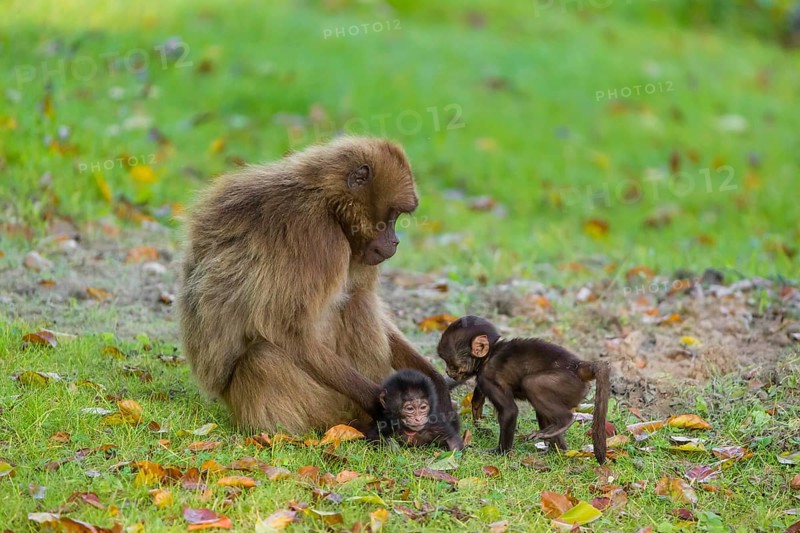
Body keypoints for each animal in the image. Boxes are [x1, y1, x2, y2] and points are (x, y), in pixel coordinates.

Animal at [178, 136, 461, 445]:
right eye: (393, 215)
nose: (394, 242)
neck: (327, 202)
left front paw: (435, 383)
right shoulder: (315, 234)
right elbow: (284, 328)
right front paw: (381, 405)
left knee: (357, 299)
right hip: (325, 406)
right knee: (264, 359)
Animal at [436, 316, 610, 463]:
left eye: (451, 364)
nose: (447, 371)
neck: (489, 356)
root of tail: (577, 367)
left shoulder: (487, 377)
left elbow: (509, 411)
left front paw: (500, 452)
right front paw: (477, 410)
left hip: (570, 385)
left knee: (532, 384)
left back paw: (564, 422)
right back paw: (558, 451)